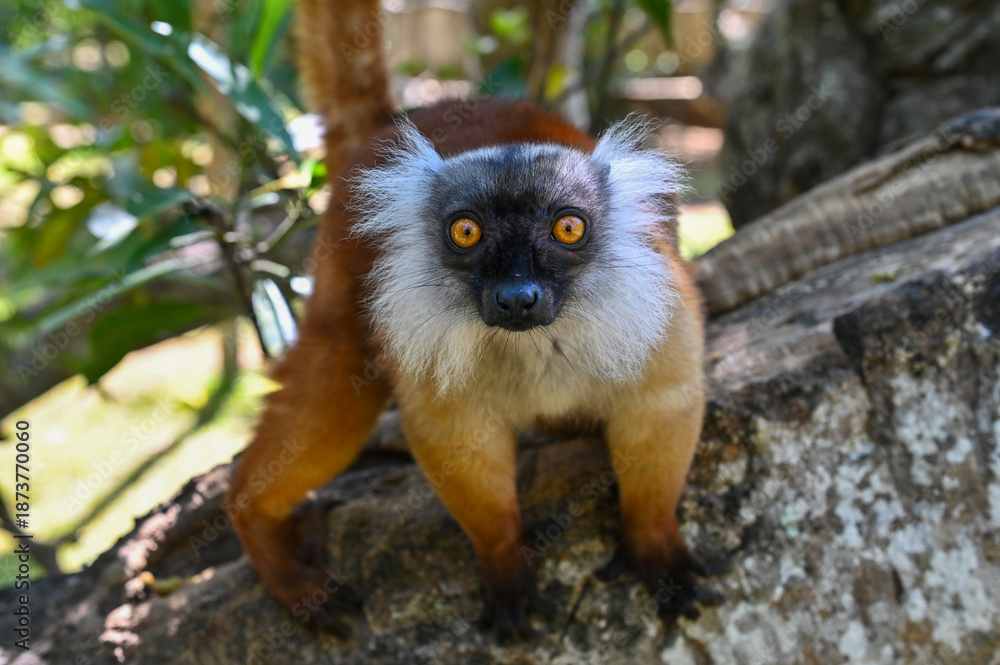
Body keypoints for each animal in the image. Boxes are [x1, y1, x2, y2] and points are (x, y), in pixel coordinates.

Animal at [225, 0, 717, 640]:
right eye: (466, 232)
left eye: (568, 227)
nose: (517, 298)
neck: (538, 340)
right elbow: (455, 436)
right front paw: (505, 561)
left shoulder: (659, 315)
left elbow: (661, 403)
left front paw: (655, 546)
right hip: (346, 271)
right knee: (337, 374)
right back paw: (258, 524)